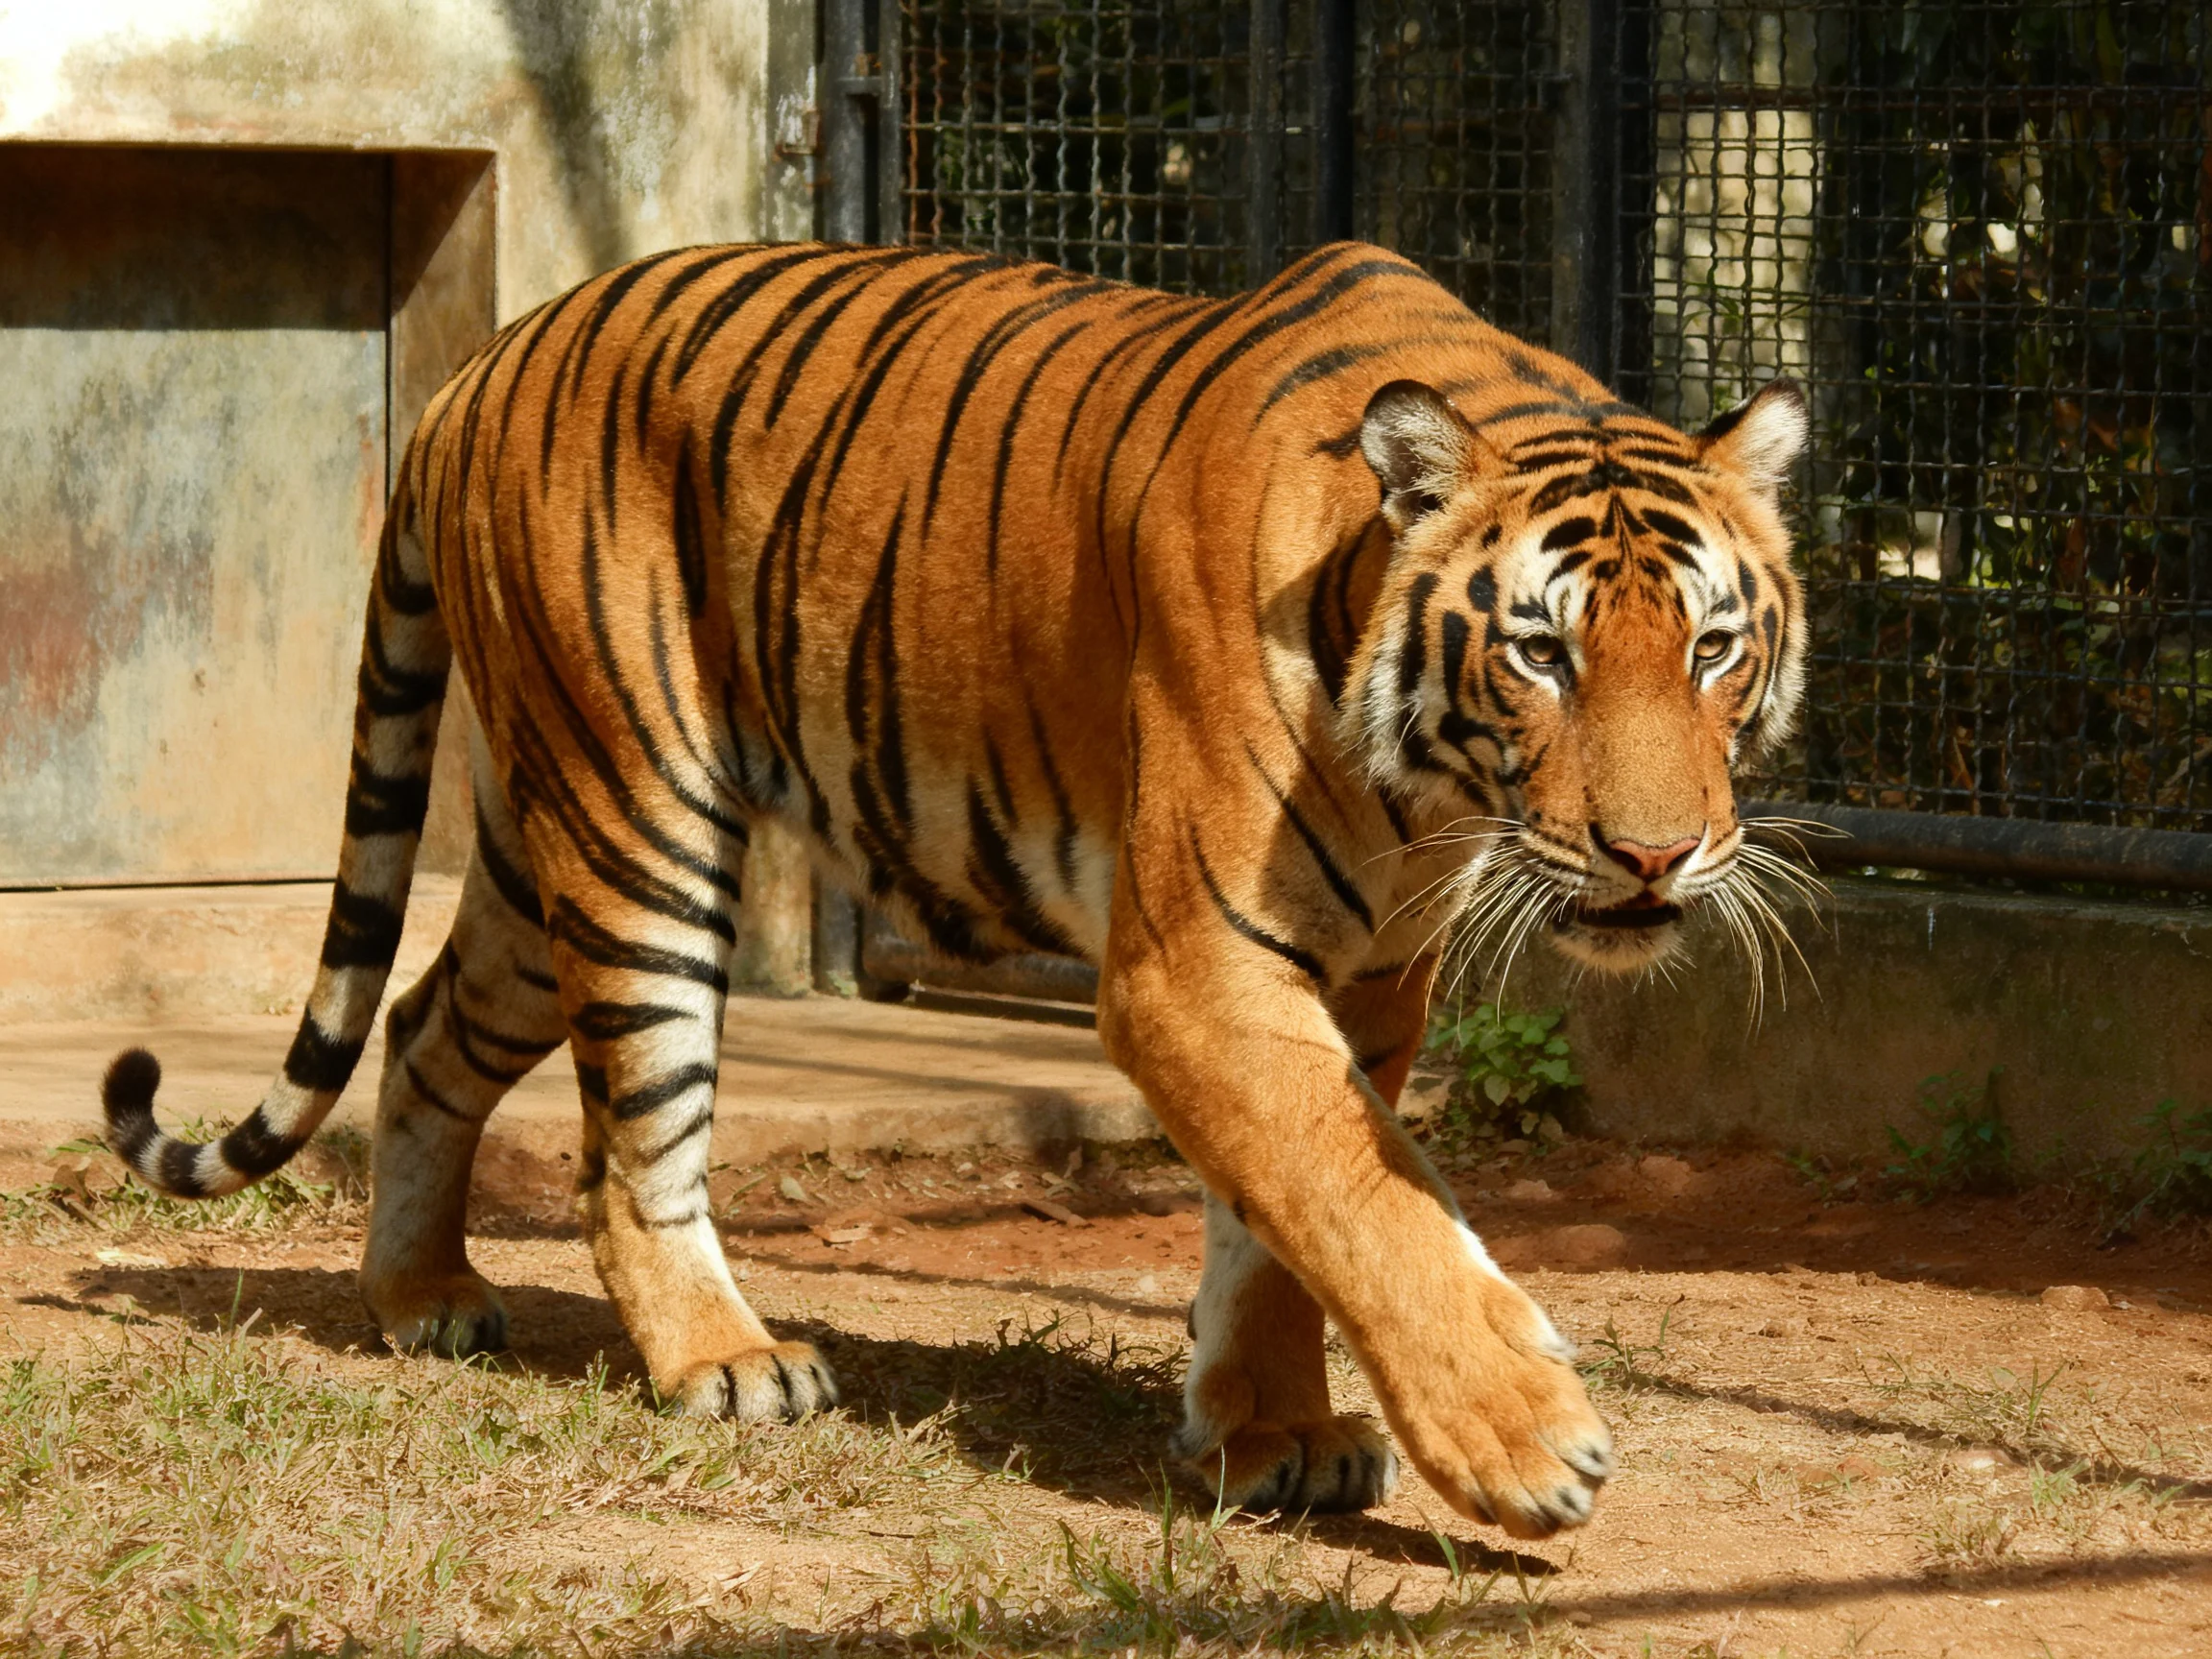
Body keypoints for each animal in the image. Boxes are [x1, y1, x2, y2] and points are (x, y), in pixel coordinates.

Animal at [101, 240, 1808, 1538]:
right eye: (1543, 653)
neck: (1426, 789)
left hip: (539, 855)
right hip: (638, 812)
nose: (1656, 853)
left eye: (1713, 649)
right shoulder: (1195, 965)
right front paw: (1525, 1440)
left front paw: (1269, 1438)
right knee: (630, 1139)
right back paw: (725, 1361)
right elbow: (1359, 1198)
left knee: (420, 1030)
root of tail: (483, 361)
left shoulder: (1367, 974)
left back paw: (422, 1296)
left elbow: (1287, 1222)